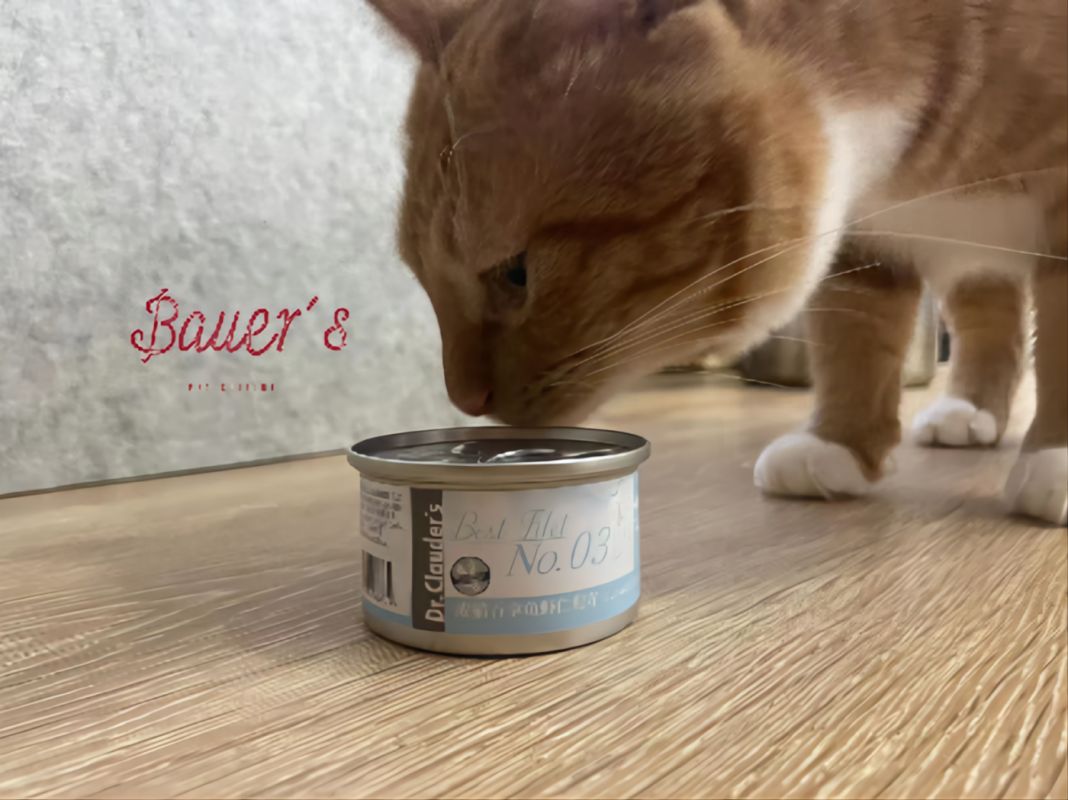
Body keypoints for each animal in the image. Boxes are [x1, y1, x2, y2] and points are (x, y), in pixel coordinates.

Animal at [365, 0, 1067, 526]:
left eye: (515, 272)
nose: (463, 401)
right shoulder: (864, 236)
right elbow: (857, 339)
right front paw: (838, 443)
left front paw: (1056, 456)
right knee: (991, 313)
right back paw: (969, 410)